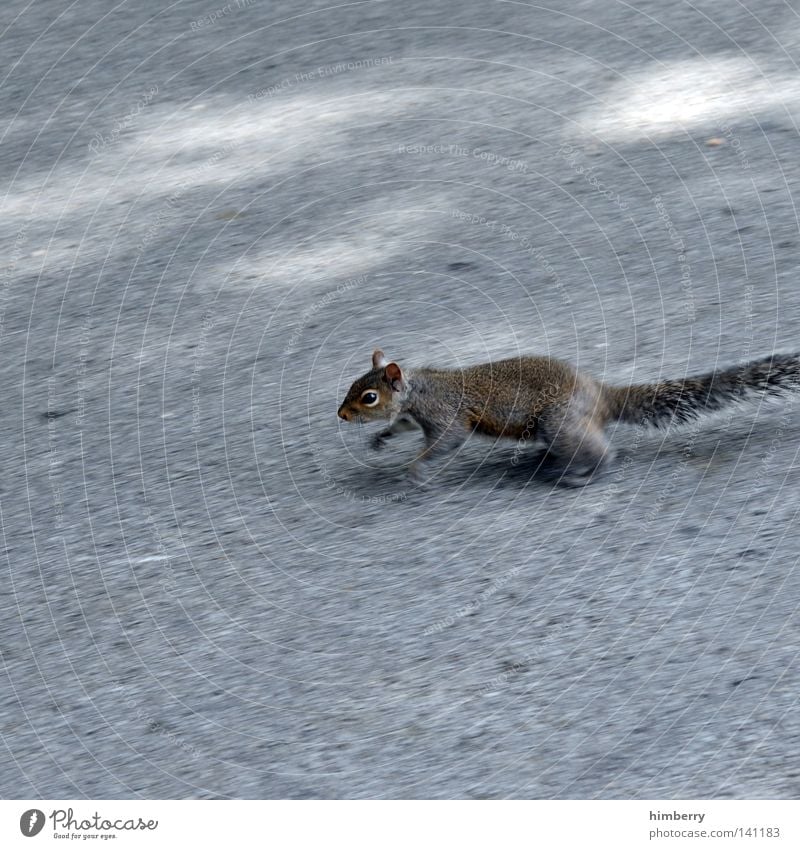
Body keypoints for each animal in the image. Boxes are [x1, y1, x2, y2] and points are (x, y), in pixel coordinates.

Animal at [338, 348, 800, 486]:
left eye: (369, 396)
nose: (341, 415)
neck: (420, 389)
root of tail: (600, 396)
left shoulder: (446, 414)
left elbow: (447, 442)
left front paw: (416, 470)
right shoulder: (415, 417)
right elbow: (400, 426)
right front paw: (380, 440)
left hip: (558, 422)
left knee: (600, 451)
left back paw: (579, 473)